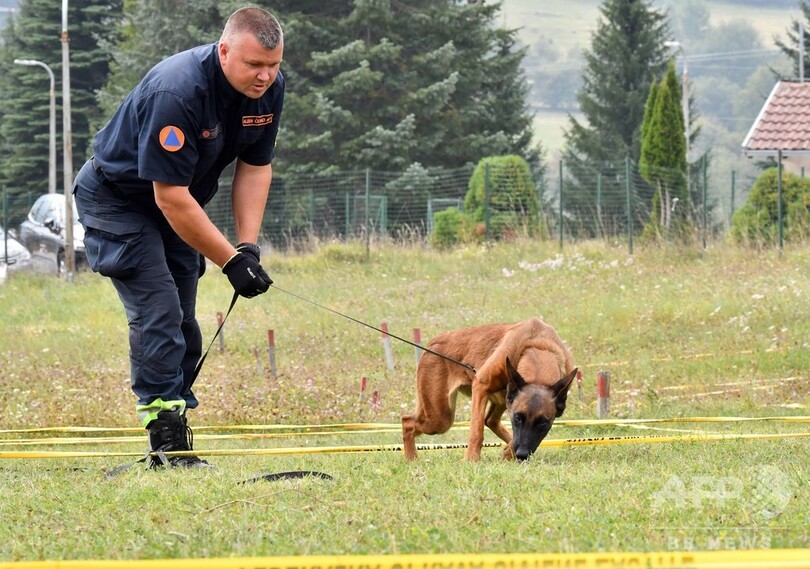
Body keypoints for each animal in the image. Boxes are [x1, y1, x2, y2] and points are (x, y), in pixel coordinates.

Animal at [400, 318, 576, 460]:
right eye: (518, 417)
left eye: (543, 422)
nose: (522, 454)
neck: (537, 345)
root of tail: (434, 341)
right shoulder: (480, 387)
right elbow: (477, 431)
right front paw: (471, 460)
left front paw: (508, 454)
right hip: (440, 418)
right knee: (407, 421)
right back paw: (411, 459)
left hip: (501, 400)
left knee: (491, 421)